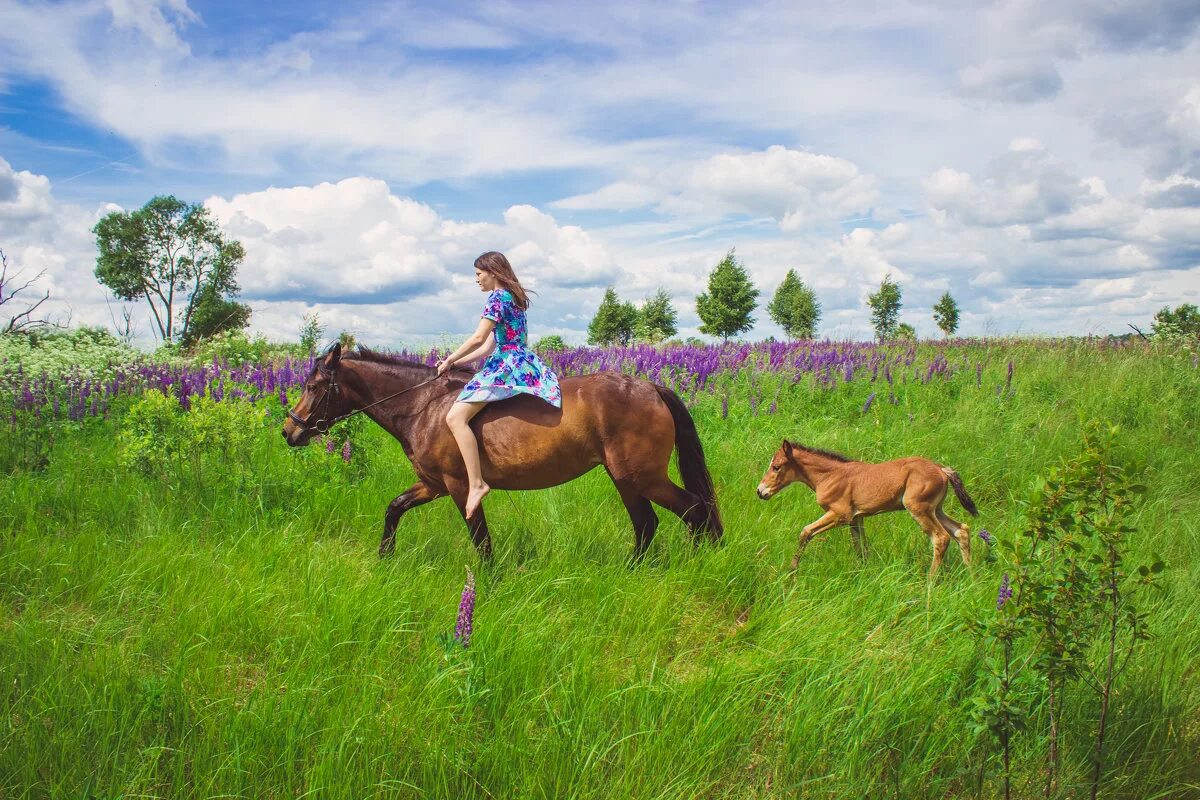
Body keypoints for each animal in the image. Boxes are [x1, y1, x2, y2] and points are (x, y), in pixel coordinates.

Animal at [280, 340, 720, 561]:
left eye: (314, 386)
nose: (289, 430)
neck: (424, 406)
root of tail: (652, 388)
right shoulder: (432, 485)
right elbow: (394, 509)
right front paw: (385, 558)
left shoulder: (459, 486)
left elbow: (480, 537)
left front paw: (487, 583)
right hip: (625, 479)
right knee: (647, 525)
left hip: (642, 476)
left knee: (693, 509)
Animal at [758, 441, 974, 578]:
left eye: (776, 467)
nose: (760, 491)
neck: (829, 475)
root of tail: (942, 470)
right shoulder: (856, 518)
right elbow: (861, 546)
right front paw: (863, 571)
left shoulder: (840, 515)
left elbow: (806, 532)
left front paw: (791, 573)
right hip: (936, 509)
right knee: (961, 530)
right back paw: (970, 574)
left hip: (919, 509)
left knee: (941, 538)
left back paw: (930, 582)